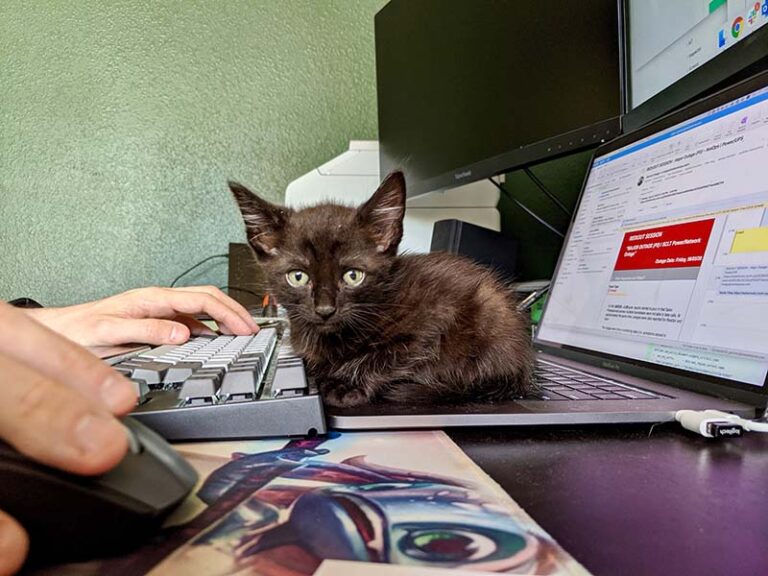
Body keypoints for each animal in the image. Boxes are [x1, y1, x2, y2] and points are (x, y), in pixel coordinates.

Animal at [231, 172, 536, 410]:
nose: (325, 309)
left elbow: (387, 355)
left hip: (489, 311)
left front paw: (343, 384)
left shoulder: (434, 321)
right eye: (297, 276)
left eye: (353, 276)